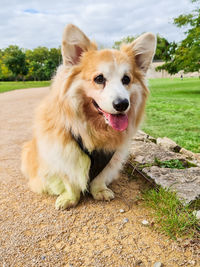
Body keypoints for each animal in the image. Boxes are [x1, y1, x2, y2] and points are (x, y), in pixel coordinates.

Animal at [20, 24, 156, 210]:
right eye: (99, 79)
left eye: (126, 79)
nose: (122, 104)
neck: (93, 129)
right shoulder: (62, 156)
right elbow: (70, 181)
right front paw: (69, 198)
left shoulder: (110, 159)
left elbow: (99, 178)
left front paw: (99, 191)